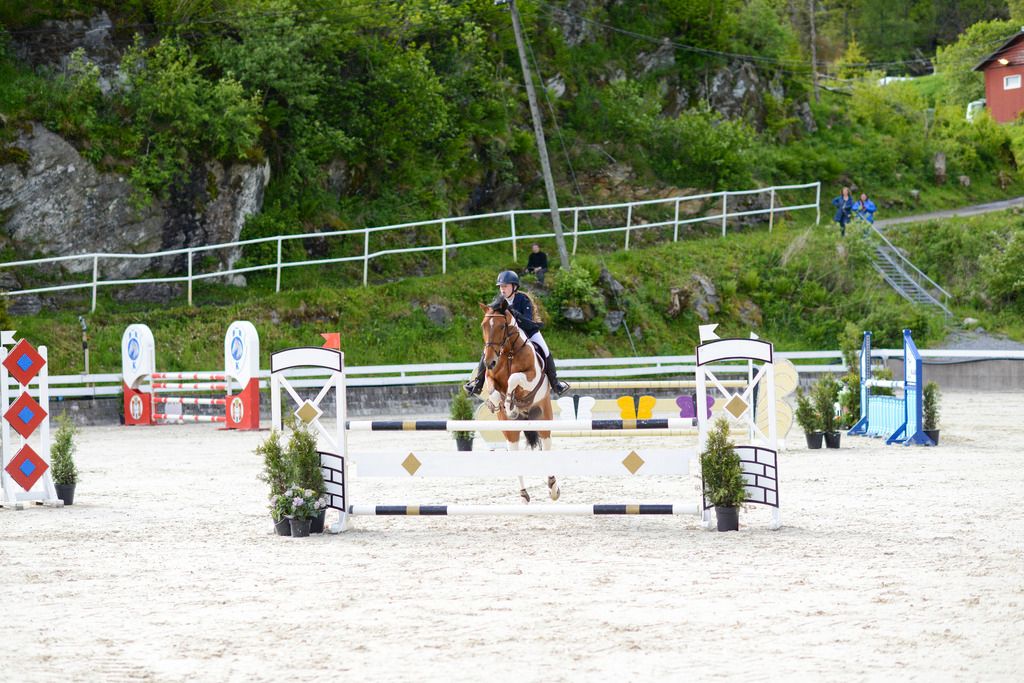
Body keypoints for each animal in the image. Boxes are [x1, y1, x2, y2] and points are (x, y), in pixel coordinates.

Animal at [477, 302, 560, 503]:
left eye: (501, 327)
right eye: (483, 326)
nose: (489, 361)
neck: (508, 353)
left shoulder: (531, 378)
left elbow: (514, 378)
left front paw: (509, 401)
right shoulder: (490, 377)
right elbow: (494, 390)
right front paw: (503, 405)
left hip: (543, 416)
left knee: (546, 445)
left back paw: (553, 488)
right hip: (510, 430)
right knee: (514, 450)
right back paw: (523, 495)